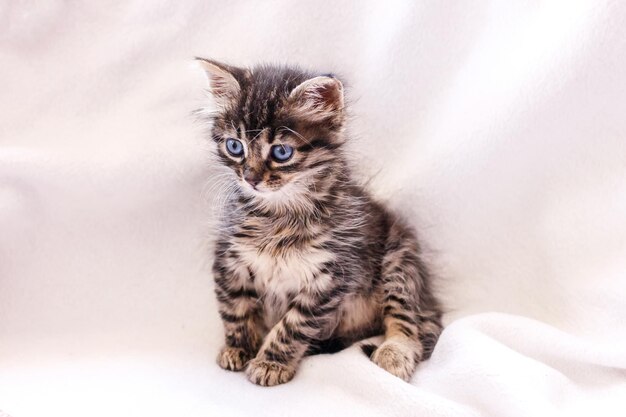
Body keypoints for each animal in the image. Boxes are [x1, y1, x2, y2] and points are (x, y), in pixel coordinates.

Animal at [197, 57, 442, 386]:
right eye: (235, 147)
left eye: (281, 152)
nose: (250, 178)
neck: (279, 215)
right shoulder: (229, 261)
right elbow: (236, 311)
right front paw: (239, 348)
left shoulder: (329, 278)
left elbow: (292, 327)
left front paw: (271, 363)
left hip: (400, 262)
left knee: (410, 322)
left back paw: (394, 354)